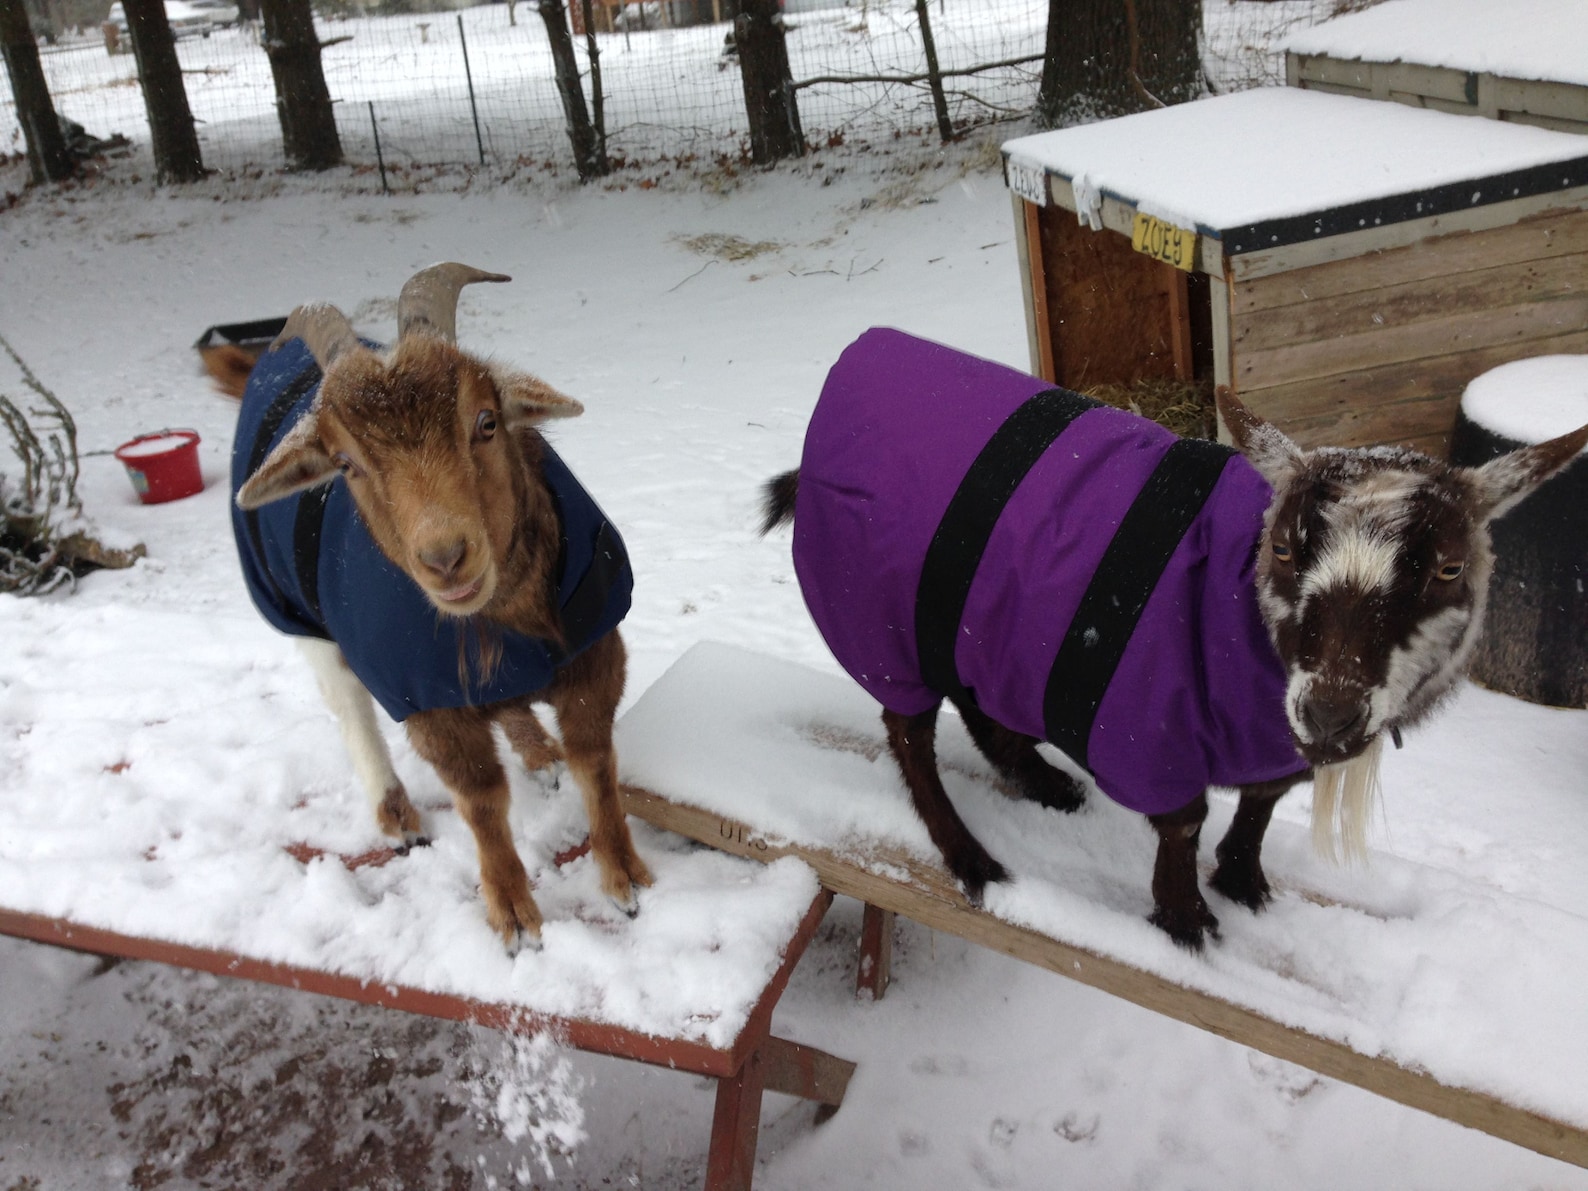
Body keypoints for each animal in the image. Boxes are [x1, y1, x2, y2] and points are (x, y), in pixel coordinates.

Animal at [215, 262, 652, 953]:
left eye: (487, 421)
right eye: (346, 463)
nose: (446, 558)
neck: (506, 621)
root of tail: (269, 364)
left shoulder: (594, 653)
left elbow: (595, 762)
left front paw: (624, 878)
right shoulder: (427, 701)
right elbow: (481, 800)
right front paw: (514, 914)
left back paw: (537, 752)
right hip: (294, 610)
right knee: (346, 703)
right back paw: (396, 815)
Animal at [762, 328, 1588, 948]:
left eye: (1450, 566)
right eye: (1281, 548)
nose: (1330, 711)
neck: (1239, 617)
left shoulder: (1270, 739)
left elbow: (1260, 803)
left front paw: (1244, 881)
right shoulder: (1150, 729)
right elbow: (1183, 822)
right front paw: (1185, 919)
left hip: (969, 629)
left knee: (974, 702)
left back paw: (1045, 783)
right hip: (882, 624)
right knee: (908, 734)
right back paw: (970, 855)